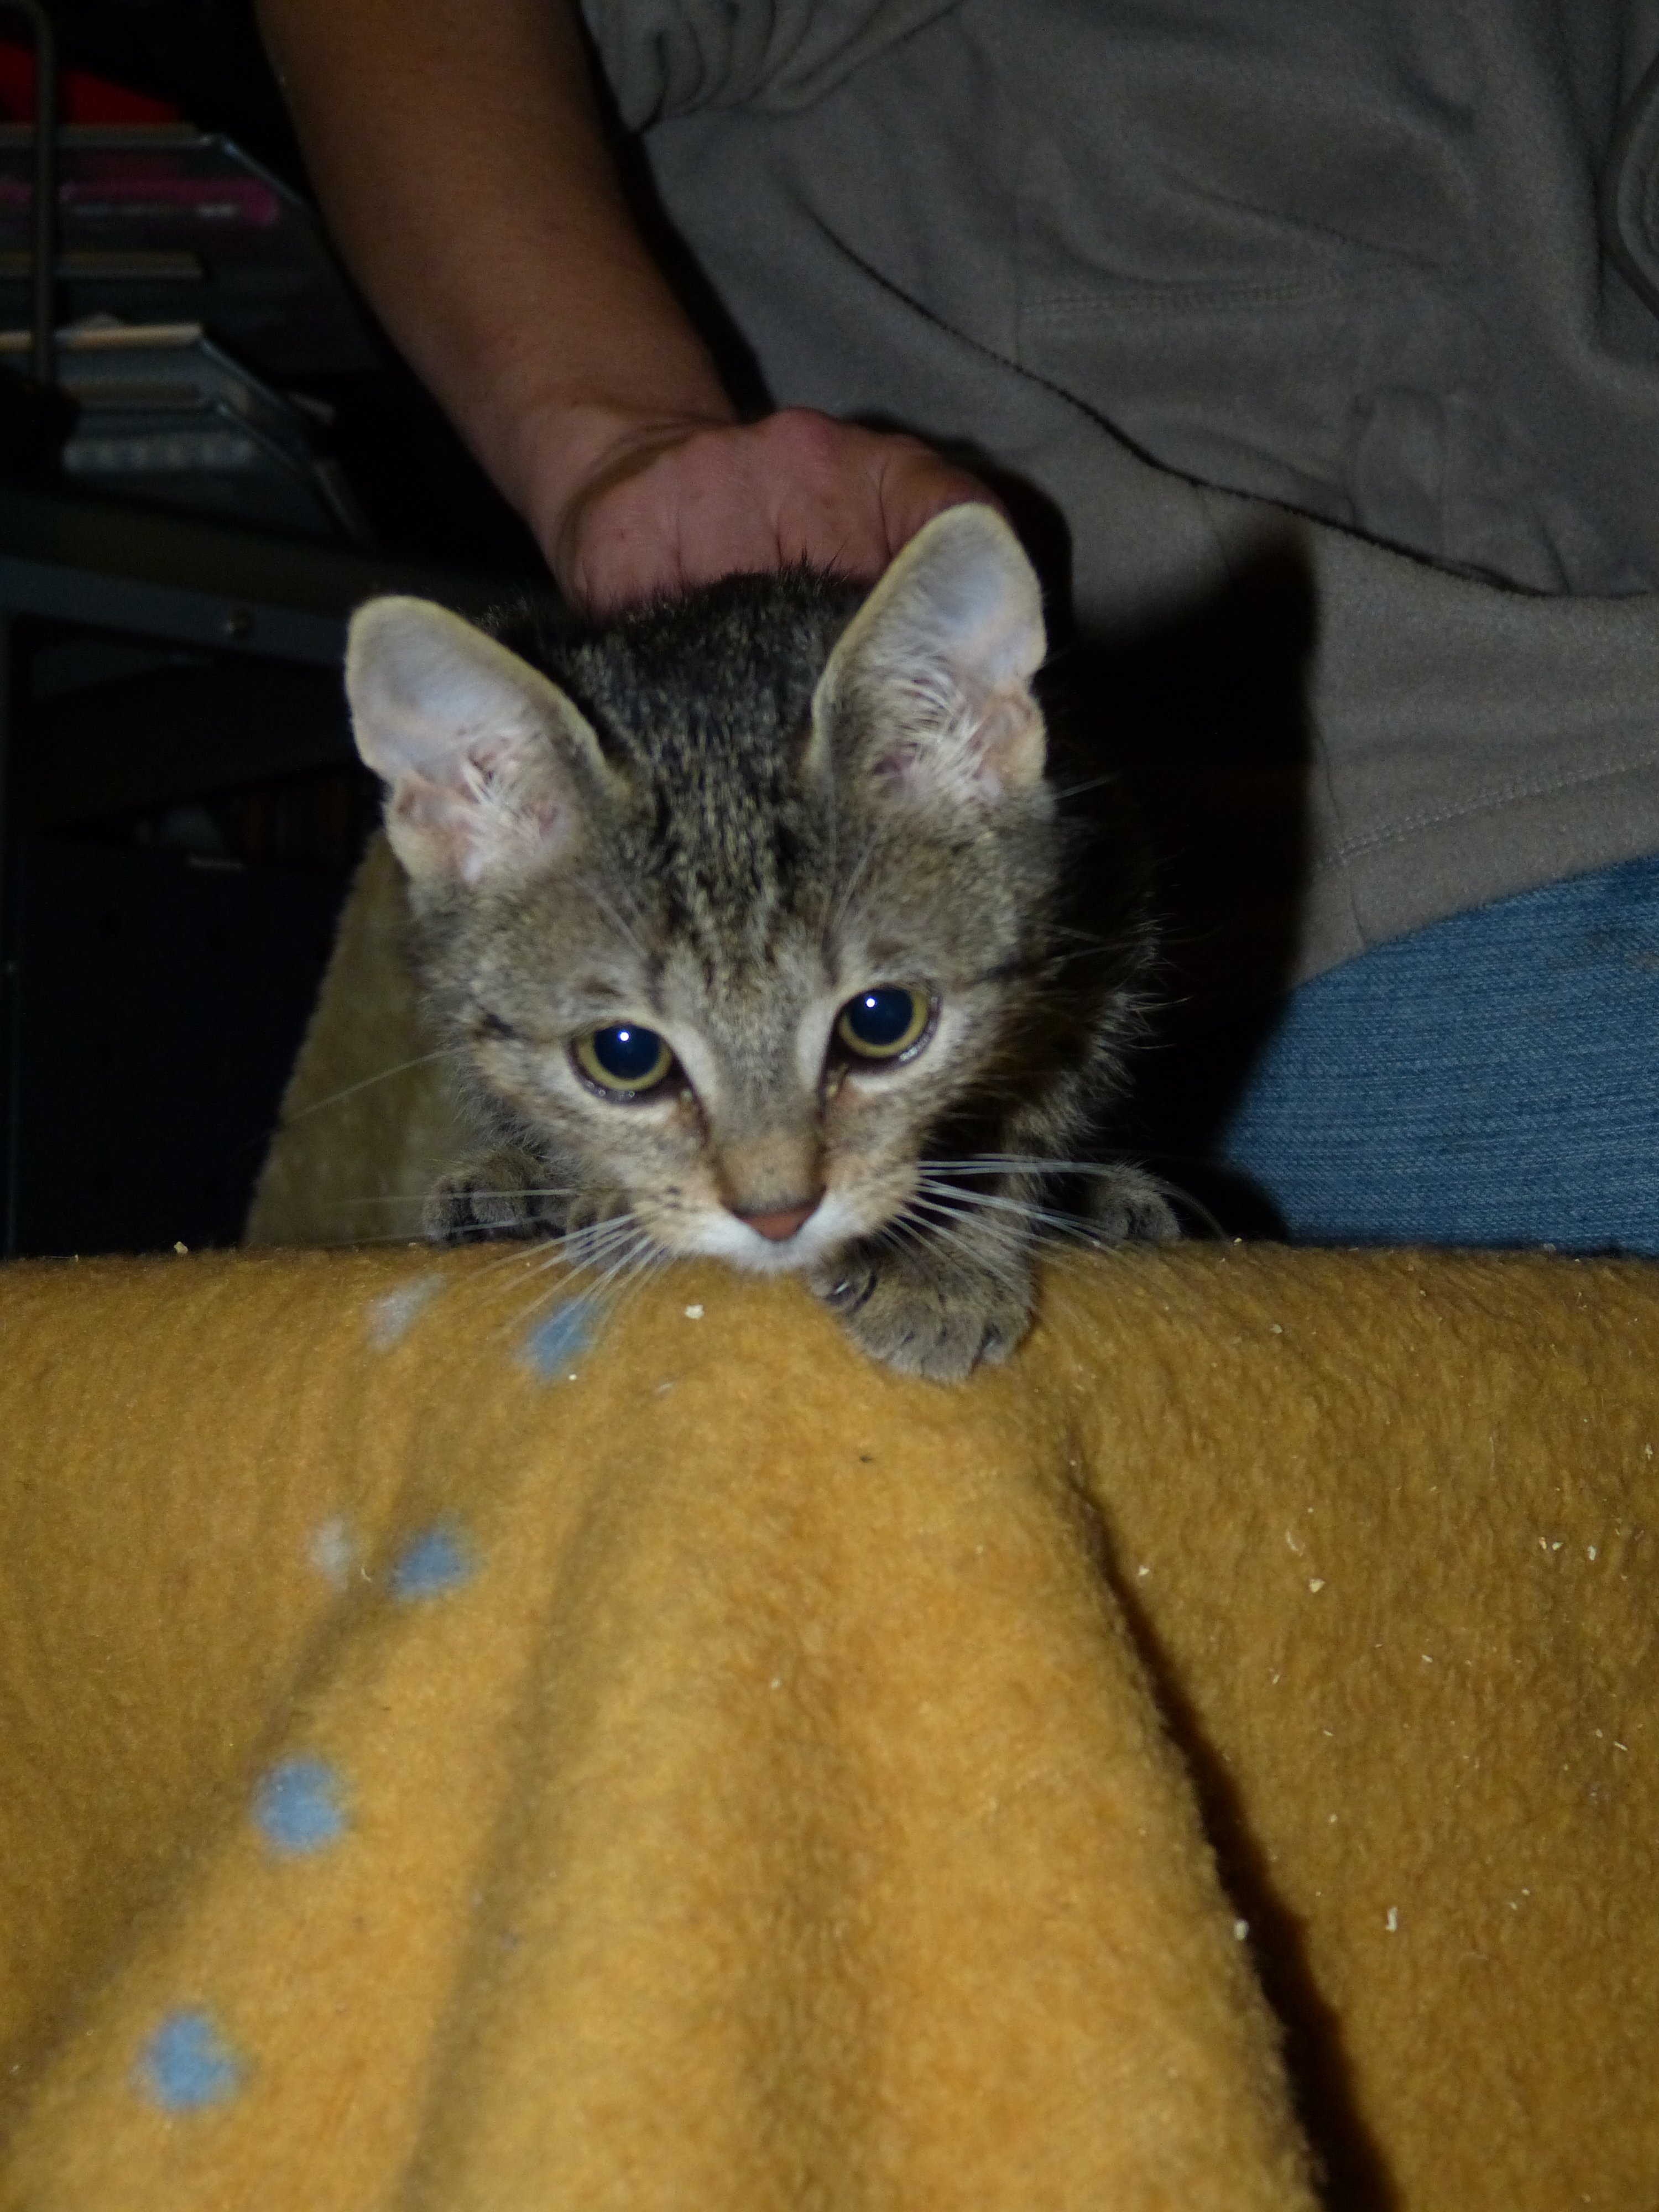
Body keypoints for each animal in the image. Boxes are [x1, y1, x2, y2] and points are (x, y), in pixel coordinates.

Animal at [344, 503, 1175, 1380]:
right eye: (624, 1056)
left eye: (884, 1021)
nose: (778, 1215)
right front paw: (599, 1189)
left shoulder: (1104, 931)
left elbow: (1031, 1114)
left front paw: (936, 1260)